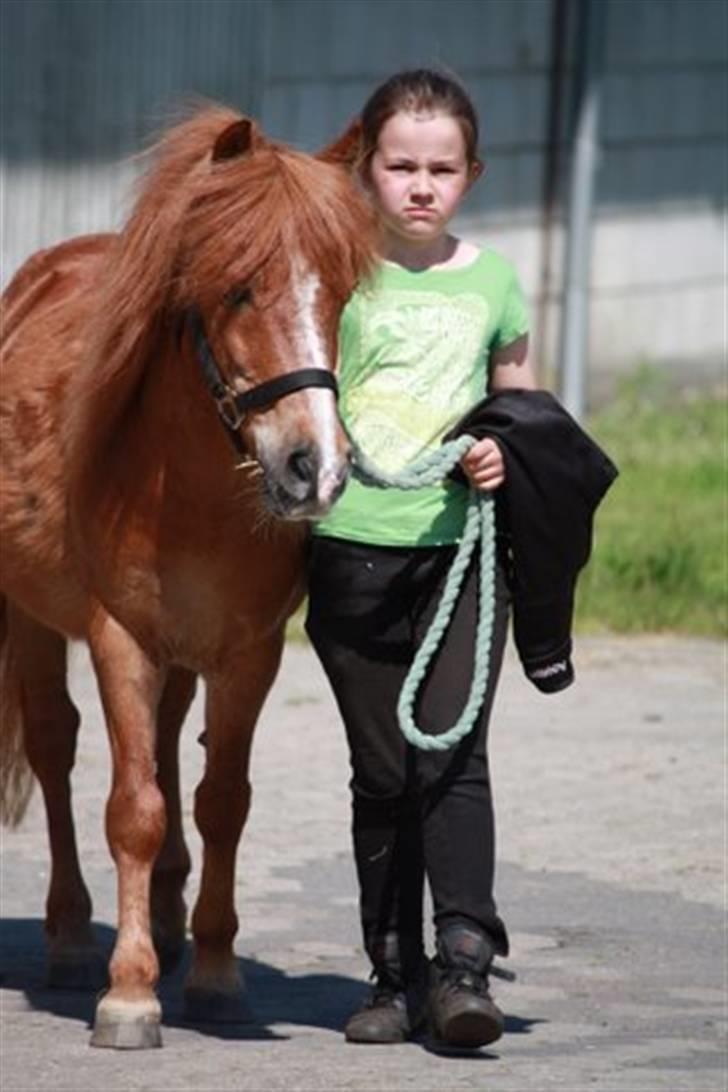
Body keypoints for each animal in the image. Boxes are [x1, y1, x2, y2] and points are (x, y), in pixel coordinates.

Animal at [0, 104, 373, 1048]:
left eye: (340, 298)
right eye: (238, 289)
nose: (314, 467)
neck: (189, 486)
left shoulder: (249, 653)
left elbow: (220, 802)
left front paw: (213, 972)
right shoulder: (118, 637)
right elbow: (133, 809)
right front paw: (128, 994)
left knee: (168, 743)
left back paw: (167, 927)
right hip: (29, 615)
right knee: (56, 748)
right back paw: (71, 939)